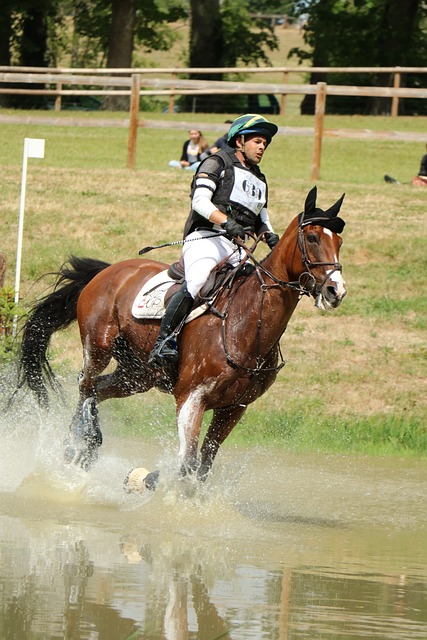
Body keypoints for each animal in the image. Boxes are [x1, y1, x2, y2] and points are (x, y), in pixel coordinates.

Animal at [14, 185, 348, 490]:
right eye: (312, 238)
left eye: (339, 241)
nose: (337, 291)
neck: (246, 322)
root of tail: (109, 271)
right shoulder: (192, 398)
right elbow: (187, 464)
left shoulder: (234, 408)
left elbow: (202, 467)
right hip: (98, 347)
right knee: (85, 385)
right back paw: (81, 445)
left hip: (138, 374)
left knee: (98, 389)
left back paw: (80, 446)